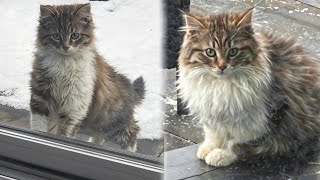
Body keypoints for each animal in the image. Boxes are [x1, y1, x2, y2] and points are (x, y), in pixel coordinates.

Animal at [30, 3, 145, 151]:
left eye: (75, 35)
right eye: (56, 36)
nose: (65, 47)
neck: (63, 64)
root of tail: (129, 88)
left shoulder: (73, 108)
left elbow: (63, 135)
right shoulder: (40, 98)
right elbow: (39, 128)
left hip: (117, 127)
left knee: (131, 136)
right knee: (98, 139)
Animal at [178, 7, 320, 167]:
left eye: (233, 51)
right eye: (210, 52)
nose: (222, 67)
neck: (222, 85)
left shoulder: (264, 120)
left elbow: (237, 144)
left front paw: (221, 155)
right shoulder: (212, 112)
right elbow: (213, 134)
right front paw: (208, 147)